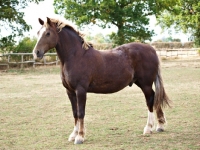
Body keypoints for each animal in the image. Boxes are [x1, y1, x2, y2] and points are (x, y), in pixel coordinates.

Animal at [32, 17, 170, 144]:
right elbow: (75, 113)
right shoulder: (70, 92)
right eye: (38, 32)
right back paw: (160, 126)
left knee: (150, 100)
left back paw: (148, 128)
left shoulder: (80, 91)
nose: (36, 52)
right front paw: (73, 135)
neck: (76, 56)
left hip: (145, 84)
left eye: (48, 33)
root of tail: (151, 49)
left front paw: (80, 137)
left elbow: (81, 113)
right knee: (155, 97)